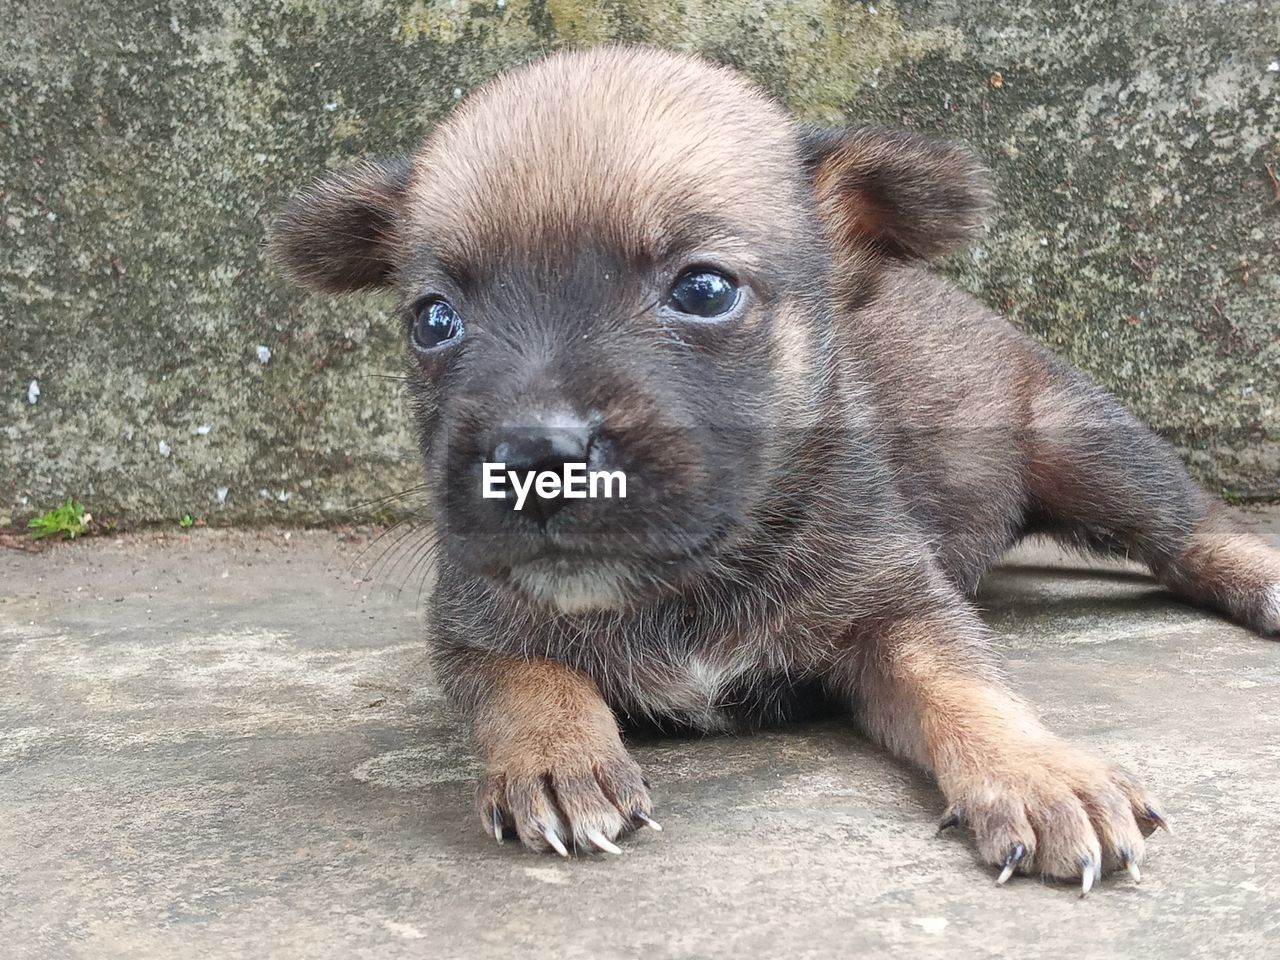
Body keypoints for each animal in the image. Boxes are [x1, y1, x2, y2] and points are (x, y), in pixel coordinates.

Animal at [272, 47, 1280, 896]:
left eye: (704, 290)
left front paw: (1037, 772)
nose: (533, 456)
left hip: (1085, 446)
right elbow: (527, 681)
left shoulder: (897, 611)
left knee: (1194, 526)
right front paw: (556, 755)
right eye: (432, 320)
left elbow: (966, 689)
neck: (683, 585)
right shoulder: (471, 623)